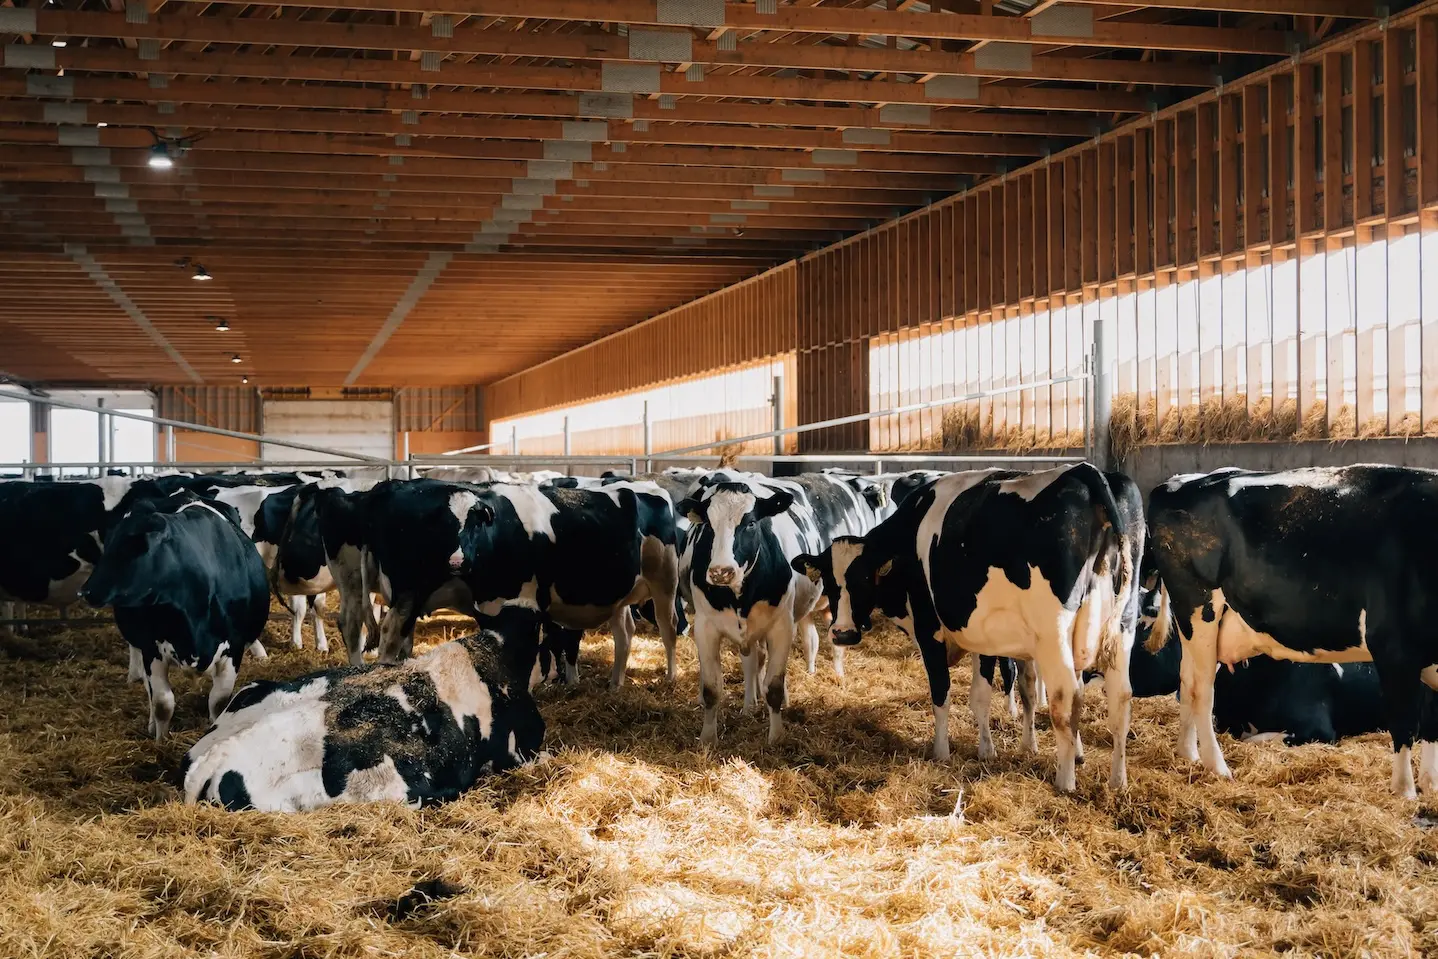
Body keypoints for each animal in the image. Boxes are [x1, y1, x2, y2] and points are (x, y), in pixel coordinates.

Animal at [79, 491, 270, 741]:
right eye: (109, 543)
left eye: (133, 544)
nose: (85, 591)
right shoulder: (151, 648)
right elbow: (162, 702)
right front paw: (161, 742)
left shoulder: (234, 649)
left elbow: (218, 703)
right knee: (149, 691)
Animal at [675, 471, 897, 747]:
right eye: (707, 525)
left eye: (750, 523)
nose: (720, 572)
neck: (739, 596)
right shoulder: (706, 628)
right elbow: (712, 688)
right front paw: (708, 738)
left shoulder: (781, 627)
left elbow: (774, 687)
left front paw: (776, 737)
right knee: (754, 660)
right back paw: (750, 704)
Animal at [793, 460, 1138, 793]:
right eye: (830, 582)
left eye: (865, 578)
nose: (843, 633)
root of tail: (1084, 471)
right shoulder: (983, 635)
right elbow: (980, 695)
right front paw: (986, 750)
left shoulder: (929, 630)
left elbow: (941, 692)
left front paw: (941, 751)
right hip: (1122, 629)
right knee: (1121, 699)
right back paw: (1117, 781)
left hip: (1054, 636)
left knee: (1066, 699)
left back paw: (1065, 780)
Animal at [1144, 468, 1438, 799]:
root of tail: (1181, 480)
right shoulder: (1393, 650)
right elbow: (1404, 726)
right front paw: (1406, 793)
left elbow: (1432, 721)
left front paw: (1431, 784)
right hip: (1199, 610)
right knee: (1201, 690)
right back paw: (1217, 767)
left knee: (1186, 678)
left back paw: (1188, 753)